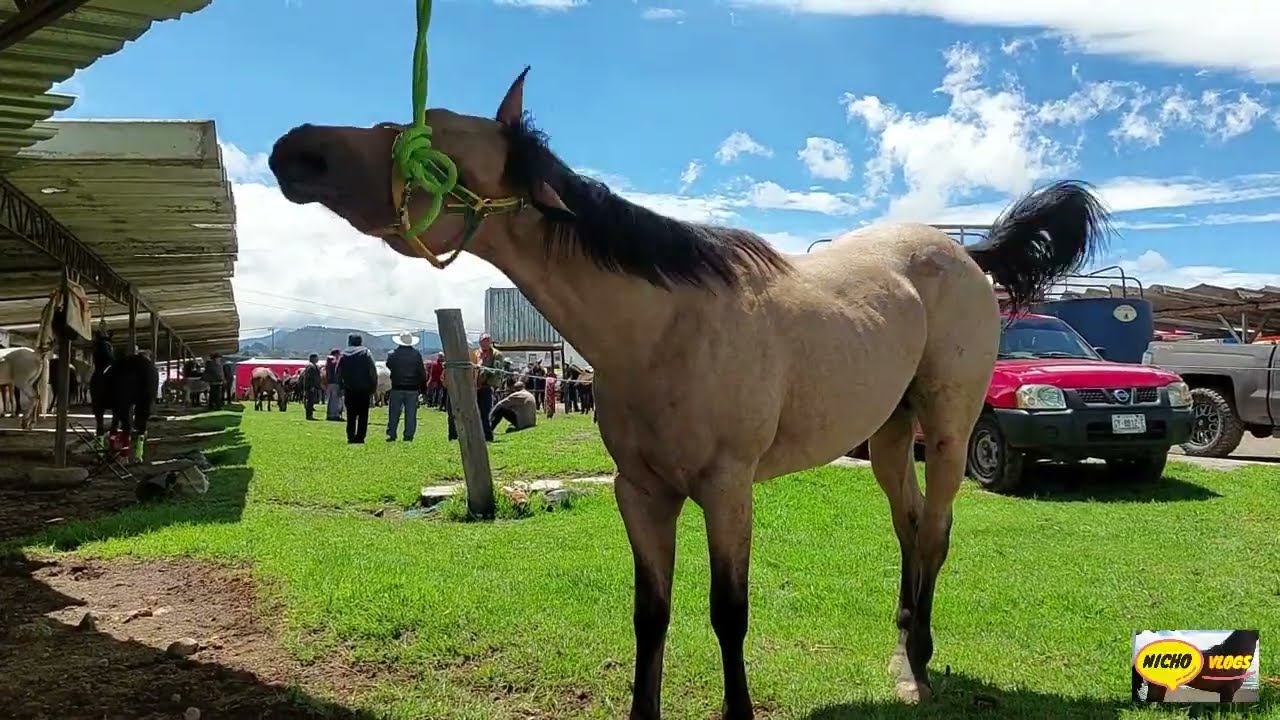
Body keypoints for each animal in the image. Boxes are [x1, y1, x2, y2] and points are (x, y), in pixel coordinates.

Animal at [267, 68, 1110, 718]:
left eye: (430, 142)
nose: (294, 148)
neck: (664, 328)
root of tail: (968, 255)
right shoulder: (642, 494)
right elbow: (652, 615)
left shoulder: (727, 491)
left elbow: (727, 615)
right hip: (888, 435)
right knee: (907, 530)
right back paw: (904, 655)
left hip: (948, 426)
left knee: (933, 533)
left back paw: (923, 667)